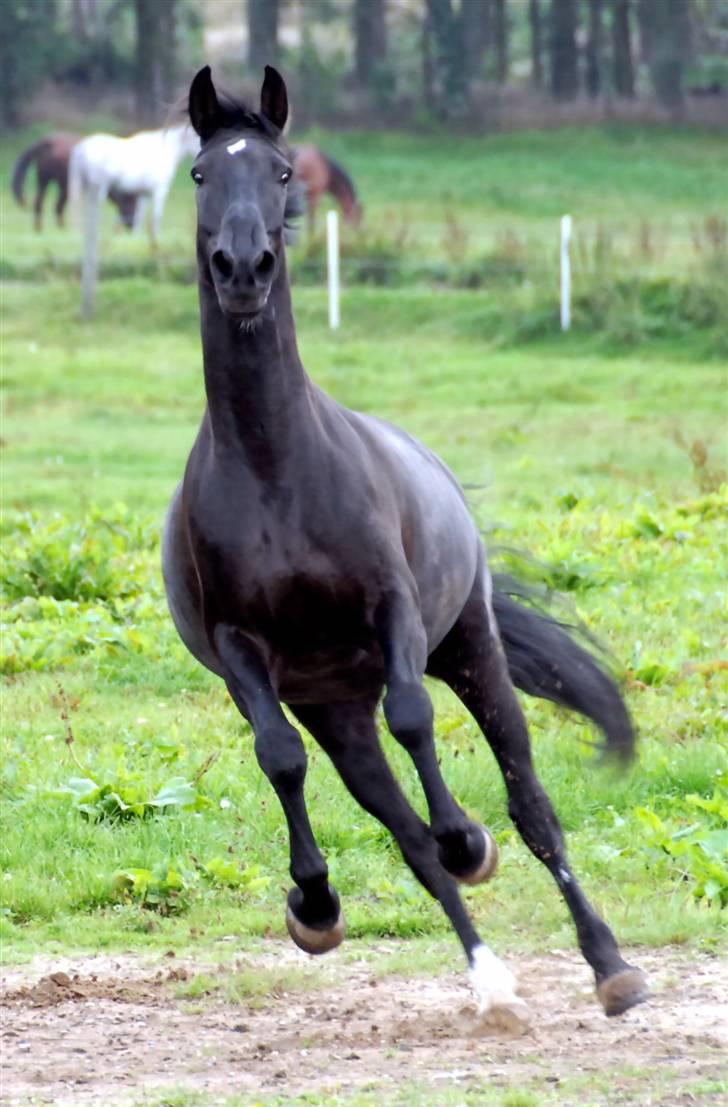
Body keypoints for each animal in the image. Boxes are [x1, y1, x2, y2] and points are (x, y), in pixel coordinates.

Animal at [12, 132, 140, 230]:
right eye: (130, 202)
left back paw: (39, 229)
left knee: (39, 203)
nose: (131, 224)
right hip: (63, 186)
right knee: (57, 207)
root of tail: (48, 142)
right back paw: (62, 229)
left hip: (44, 180)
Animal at [69, 121, 198, 242]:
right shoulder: (160, 191)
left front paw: (136, 237)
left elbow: (139, 215)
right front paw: (155, 238)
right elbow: (157, 216)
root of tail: (82, 148)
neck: (166, 150)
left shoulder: (144, 194)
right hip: (99, 187)